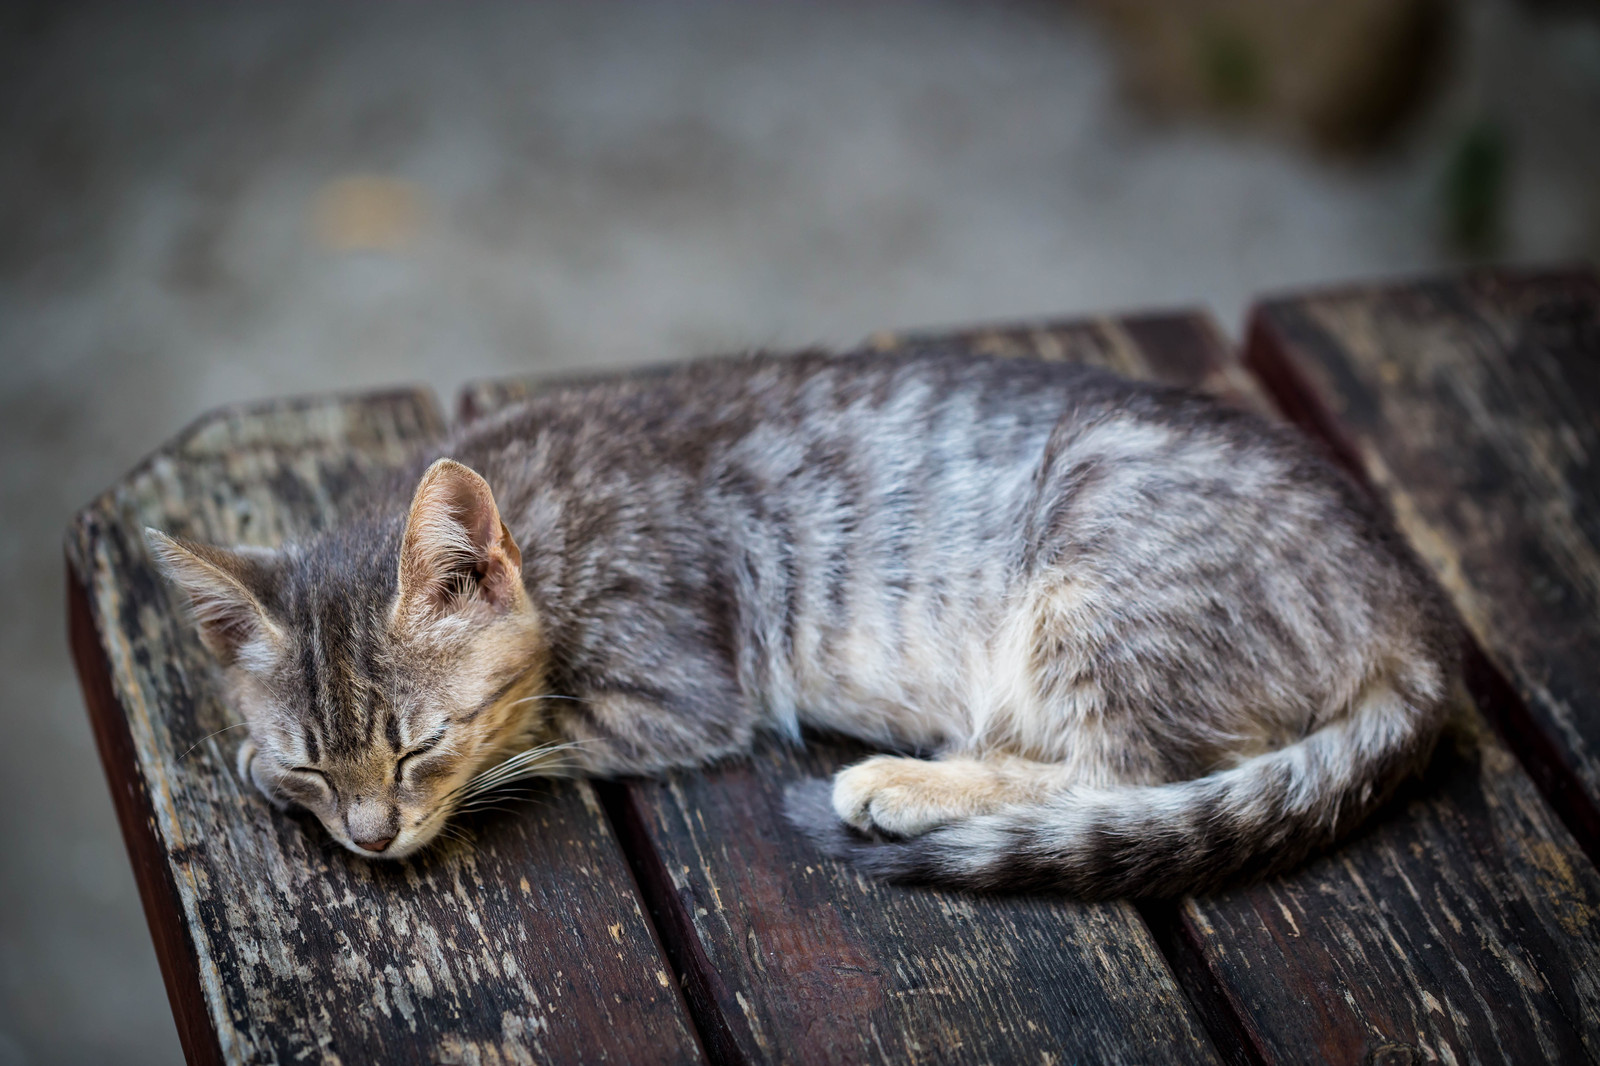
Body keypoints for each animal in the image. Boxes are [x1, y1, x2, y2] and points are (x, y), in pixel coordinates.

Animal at [152, 344, 1465, 889]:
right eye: (318, 765)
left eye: (420, 746)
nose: (370, 837)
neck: (543, 517)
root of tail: (1408, 607)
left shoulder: (677, 688)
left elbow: (541, 732)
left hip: (1103, 580)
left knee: (1122, 772)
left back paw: (905, 783)